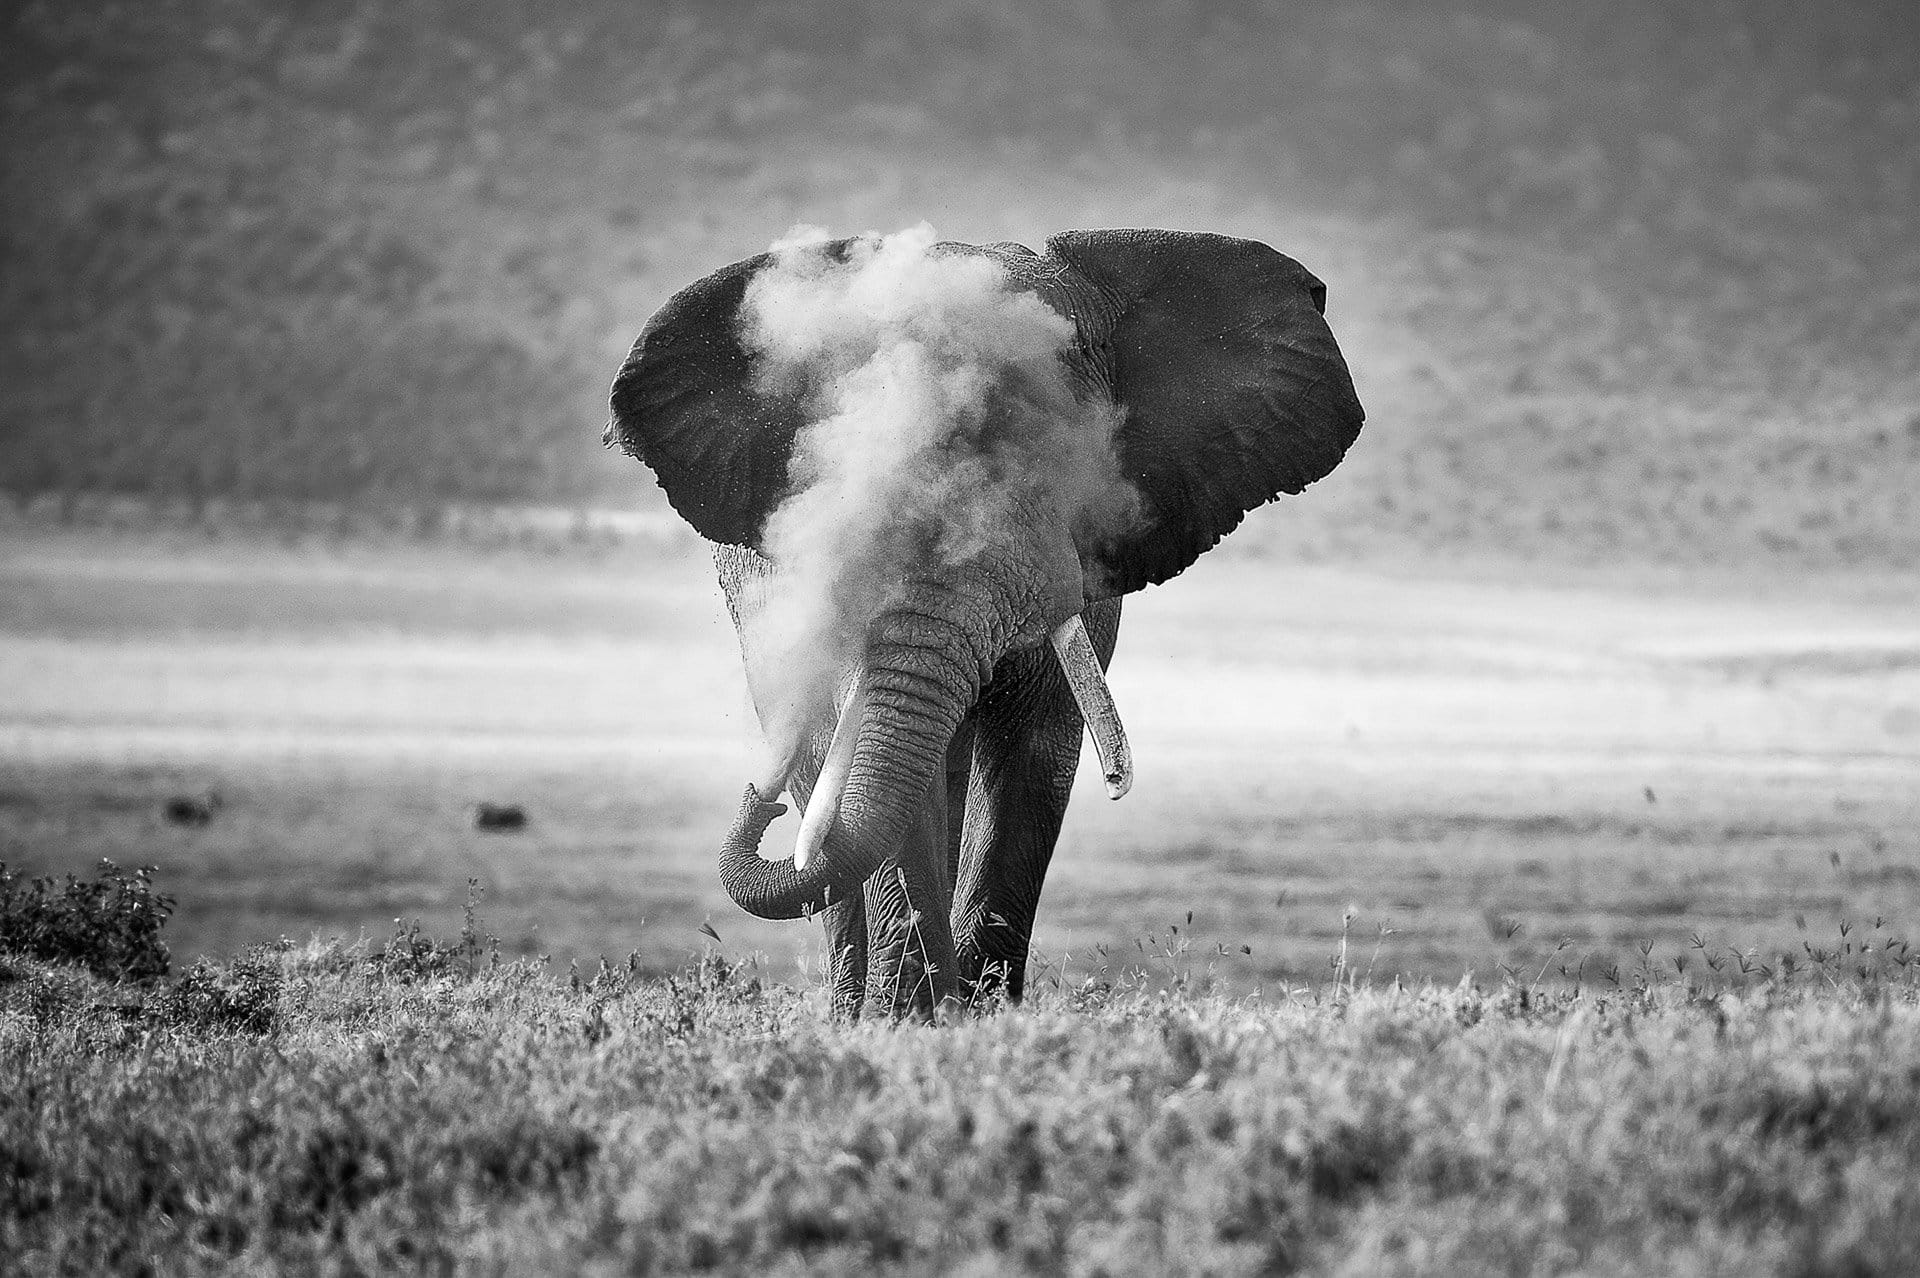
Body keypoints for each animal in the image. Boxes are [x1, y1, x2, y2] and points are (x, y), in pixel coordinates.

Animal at [606, 227, 1364, 1020]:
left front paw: (977, 1010)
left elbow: (1036, 751)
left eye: (1060, 447)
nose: (762, 805)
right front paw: (912, 1016)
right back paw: (855, 1005)